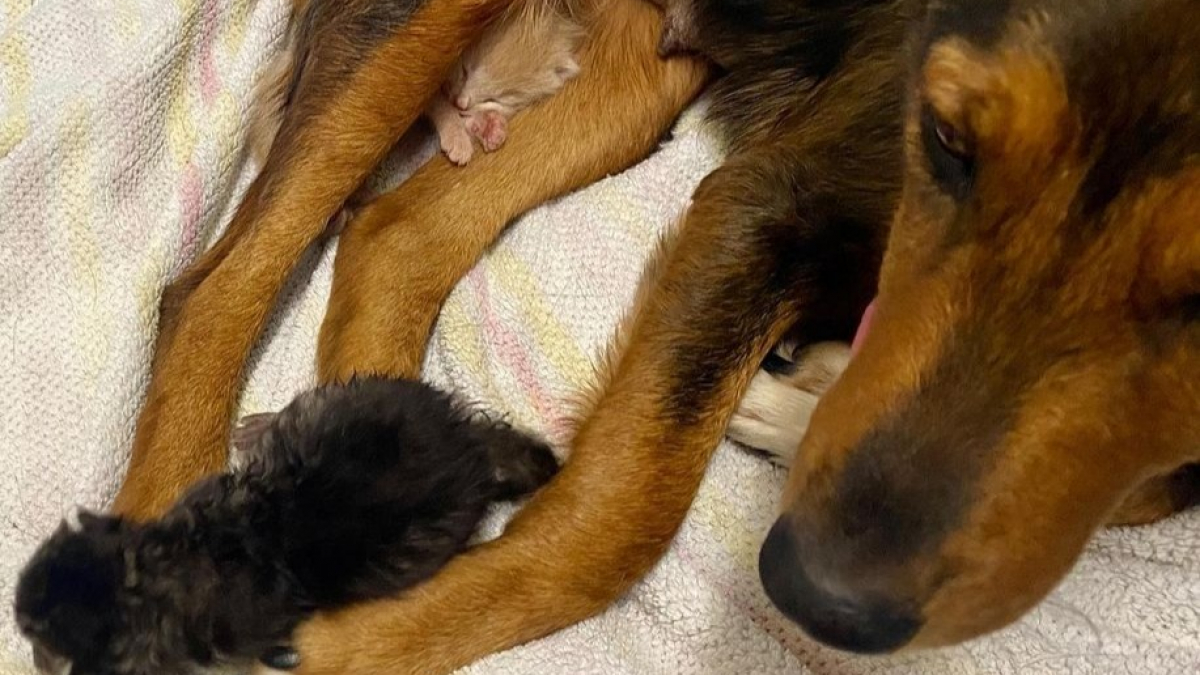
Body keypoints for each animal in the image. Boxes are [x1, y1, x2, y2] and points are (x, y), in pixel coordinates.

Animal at [108, 0, 1195, 667]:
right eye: (944, 141)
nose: (823, 600)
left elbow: (1141, 483)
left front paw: (802, 395)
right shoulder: (765, 202)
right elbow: (616, 522)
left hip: (633, 78)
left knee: (394, 236)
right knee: (216, 291)